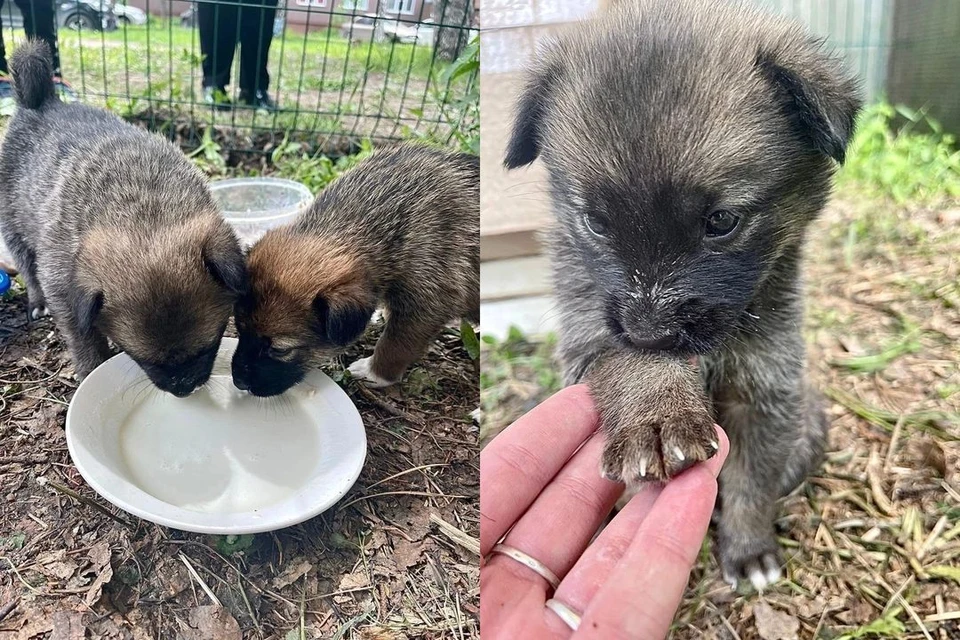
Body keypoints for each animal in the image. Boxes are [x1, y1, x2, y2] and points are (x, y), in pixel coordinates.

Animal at [232, 143, 480, 398]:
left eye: (280, 350)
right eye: (239, 328)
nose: (238, 382)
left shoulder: (427, 303)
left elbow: (395, 343)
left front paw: (374, 372)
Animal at [502, 0, 864, 592]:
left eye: (721, 221)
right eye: (595, 222)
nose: (650, 332)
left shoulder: (767, 387)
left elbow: (752, 482)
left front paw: (749, 549)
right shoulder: (590, 334)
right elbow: (630, 362)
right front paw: (657, 415)